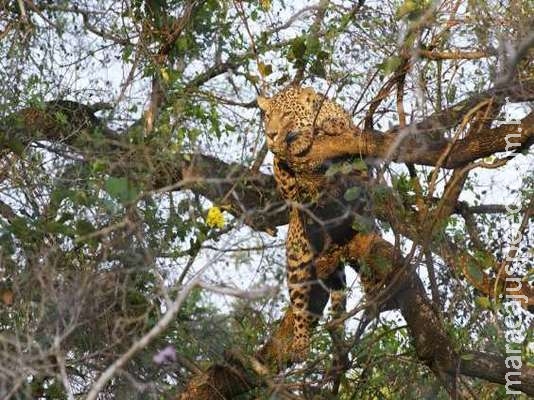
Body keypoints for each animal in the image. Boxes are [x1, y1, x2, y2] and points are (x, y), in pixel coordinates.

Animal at [258, 85, 370, 362]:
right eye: (268, 116)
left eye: (287, 114)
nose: (271, 133)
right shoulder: (281, 170)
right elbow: (286, 179)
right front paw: (291, 143)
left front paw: (326, 126)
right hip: (297, 261)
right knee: (300, 306)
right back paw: (300, 345)